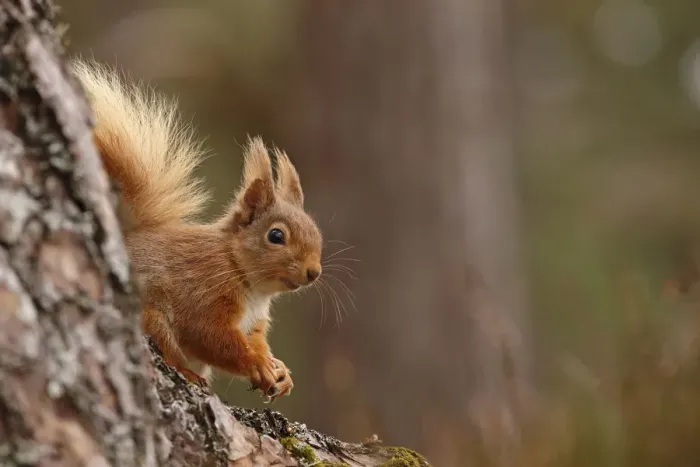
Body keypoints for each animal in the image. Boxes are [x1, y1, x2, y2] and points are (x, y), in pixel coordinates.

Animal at [71, 59, 323, 402]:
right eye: (276, 236)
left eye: (317, 233)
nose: (314, 272)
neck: (240, 271)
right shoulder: (204, 293)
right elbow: (211, 337)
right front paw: (256, 364)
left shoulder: (254, 323)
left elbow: (255, 340)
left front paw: (279, 370)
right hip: (152, 314)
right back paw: (186, 371)